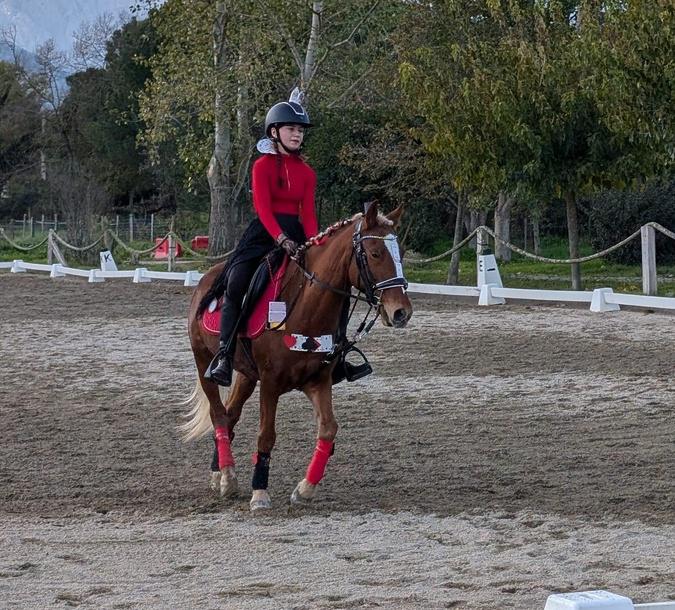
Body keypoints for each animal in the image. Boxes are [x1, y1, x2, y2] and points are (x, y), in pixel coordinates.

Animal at [182, 201, 412, 508]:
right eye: (375, 253)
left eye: (401, 256)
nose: (401, 312)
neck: (306, 308)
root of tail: (207, 278)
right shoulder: (270, 383)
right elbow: (266, 435)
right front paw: (260, 493)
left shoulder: (318, 381)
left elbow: (328, 429)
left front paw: (305, 488)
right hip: (204, 361)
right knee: (219, 414)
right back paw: (228, 477)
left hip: (246, 374)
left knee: (230, 416)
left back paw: (219, 474)